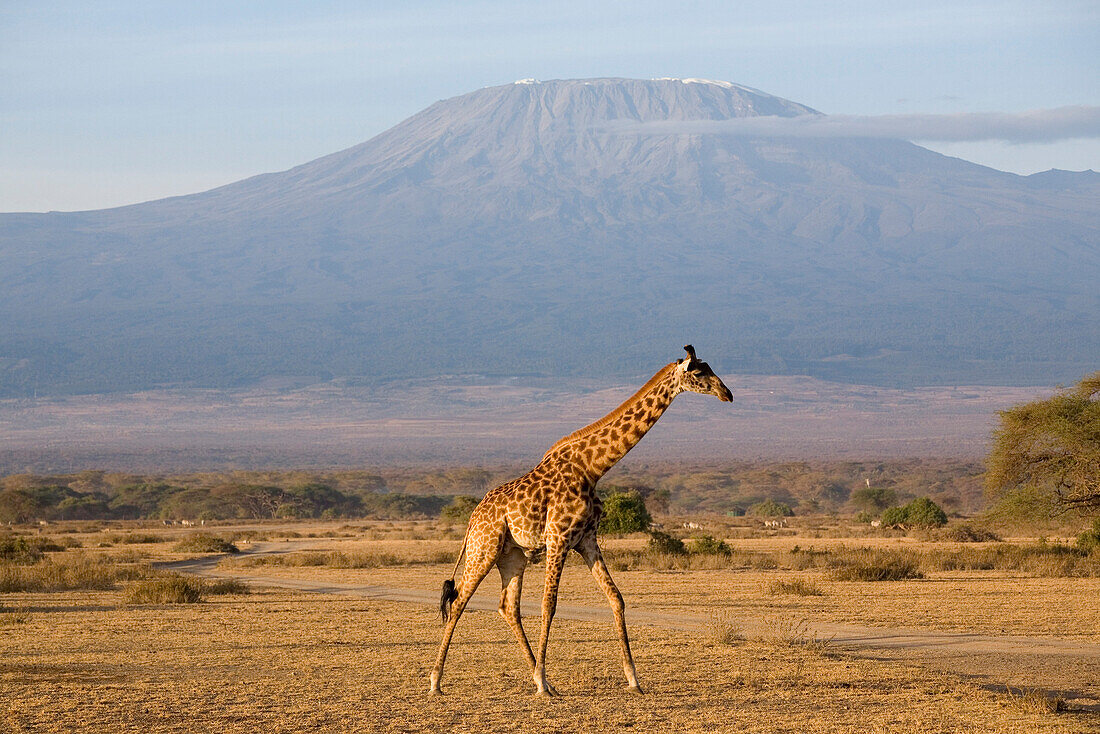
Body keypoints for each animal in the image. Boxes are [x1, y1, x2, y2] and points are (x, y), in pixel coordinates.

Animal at [426, 345, 730, 695]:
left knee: (508, 606)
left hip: (512, 556)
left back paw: (541, 679)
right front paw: (542, 681)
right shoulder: (558, 538)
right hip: (484, 548)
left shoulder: (586, 540)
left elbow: (616, 598)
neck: (591, 469)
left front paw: (633, 679)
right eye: (700, 372)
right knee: (459, 601)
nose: (727, 394)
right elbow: (549, 605)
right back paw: (437, 681)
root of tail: (471, 520)